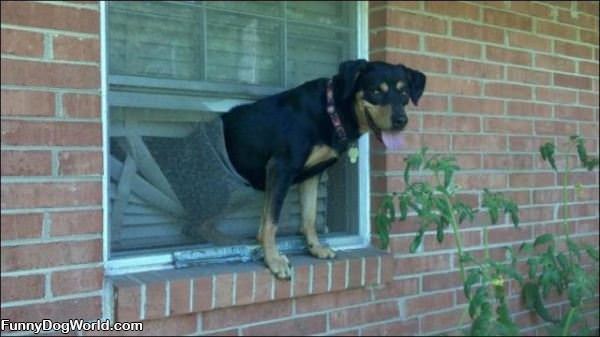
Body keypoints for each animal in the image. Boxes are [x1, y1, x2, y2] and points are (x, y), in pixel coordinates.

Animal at [221, 59, 426, 276]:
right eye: (376, 91)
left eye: (404, 93)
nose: (401, 121)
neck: (332, 110)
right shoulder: (281, 167)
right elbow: (271, 221)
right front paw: (274, 260)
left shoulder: (312, 174)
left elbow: (309, 217)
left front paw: (315, 248)